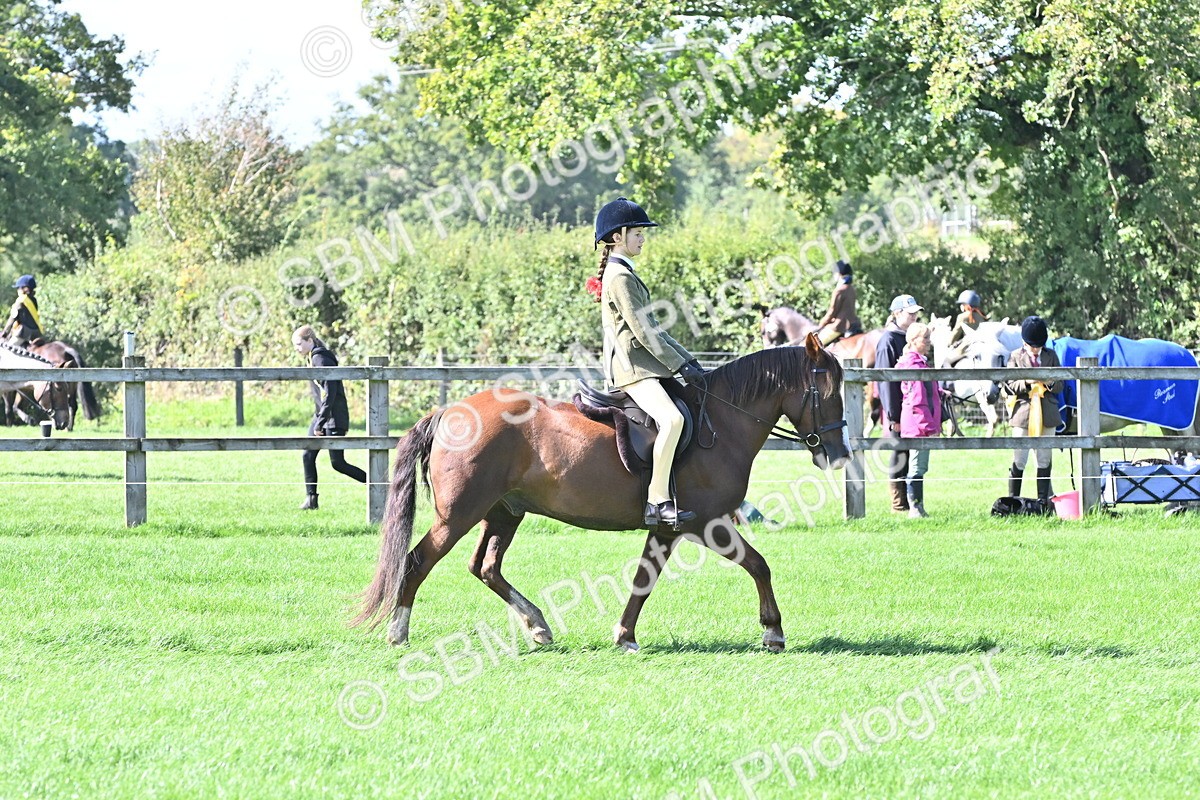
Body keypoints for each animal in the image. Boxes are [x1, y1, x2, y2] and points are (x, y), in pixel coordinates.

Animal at [355, 334, 852, 653]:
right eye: (827, 392)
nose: (839, 454)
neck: (722, 421)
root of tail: (449, 411)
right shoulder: (705, 522)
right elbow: (758, 564)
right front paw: (773, 632)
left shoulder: (669, 528)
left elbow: (643, 580)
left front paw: (625, 635)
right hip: (459, 514)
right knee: (418, 561)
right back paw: (398, 632)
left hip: (503, 512)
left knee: (486, 567)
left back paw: (538, 626)